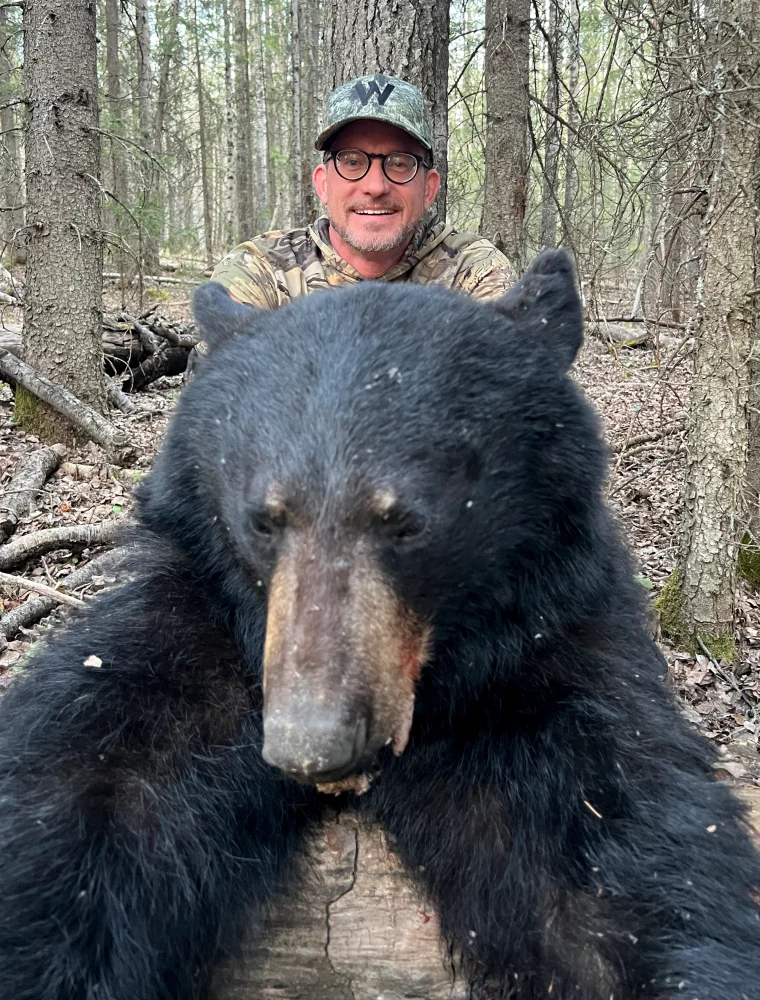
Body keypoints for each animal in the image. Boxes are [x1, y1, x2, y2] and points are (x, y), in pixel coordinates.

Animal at [0, 250, 758, 1000]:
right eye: (263, 518)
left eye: (406, 523)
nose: (311, 745)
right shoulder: (199, 631)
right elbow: (87, 782)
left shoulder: (543, 655)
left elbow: (618, 855)